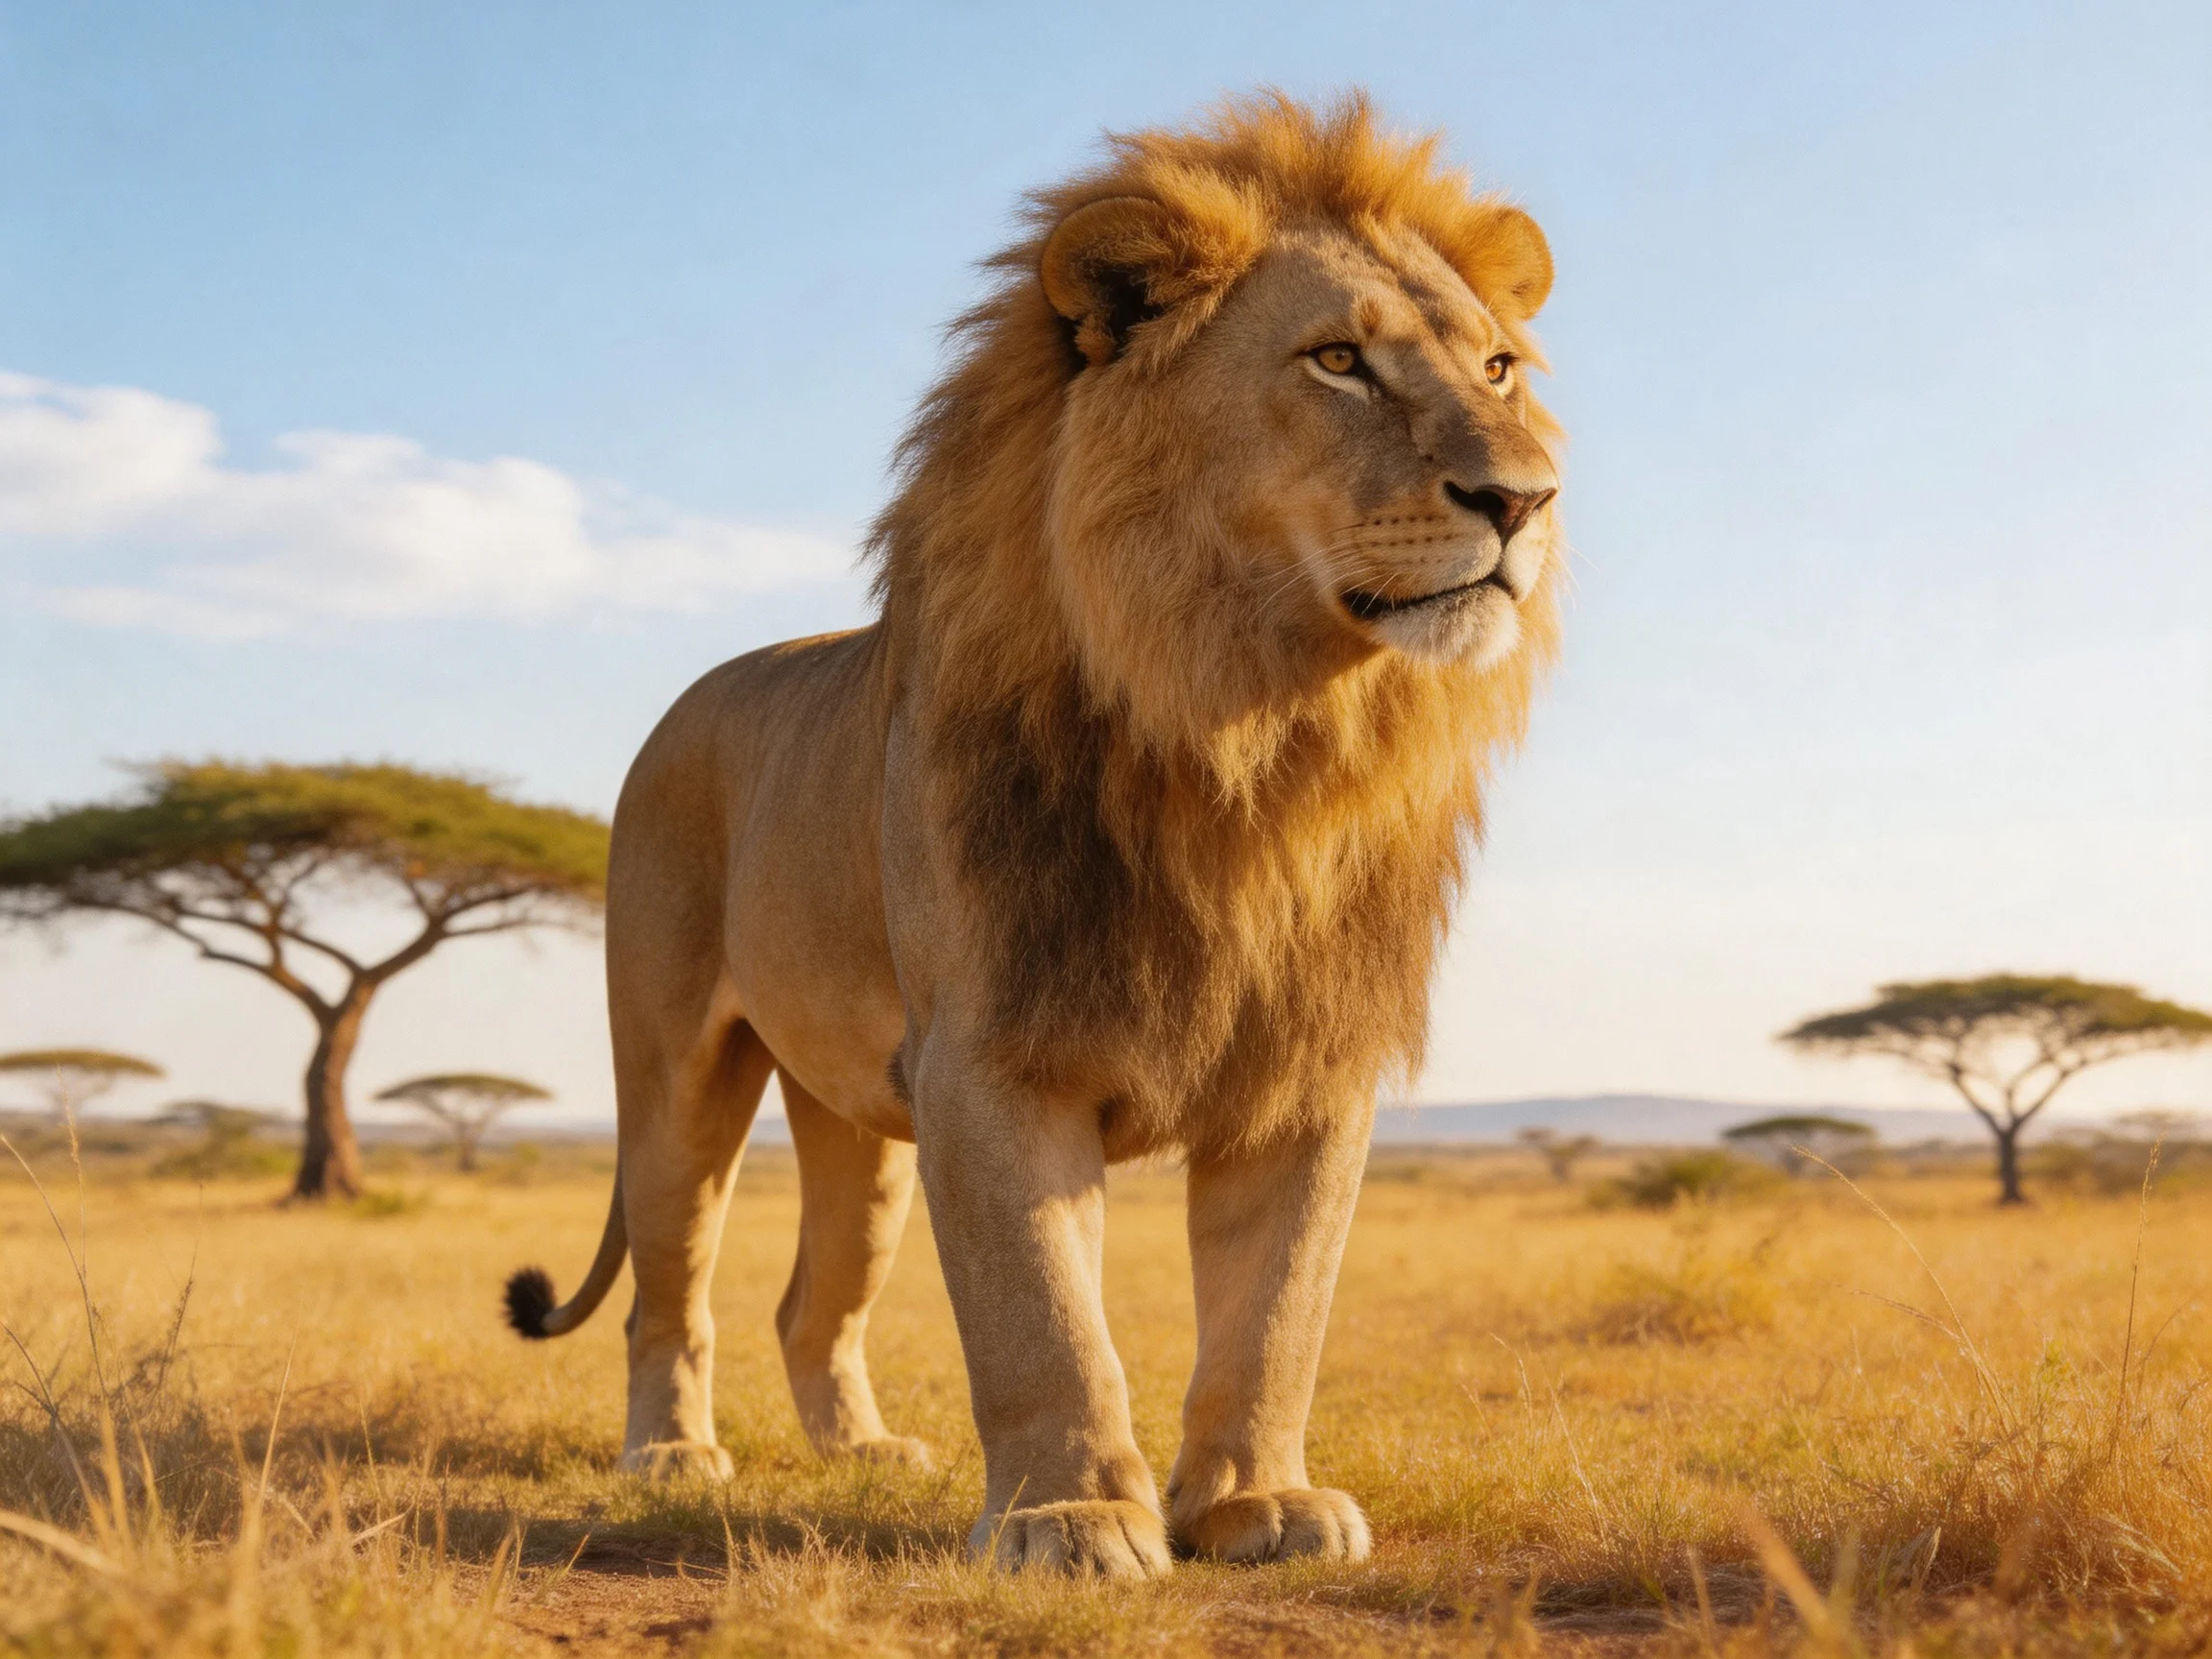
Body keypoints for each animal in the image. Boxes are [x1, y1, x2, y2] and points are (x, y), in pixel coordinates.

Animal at [503, 91, 1564, 1580]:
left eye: (1501, 367)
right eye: (1339, 360)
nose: (1526, 501)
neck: (1254, 730)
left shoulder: (1308, 1065)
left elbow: (1277, 1313)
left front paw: (1258, 1501)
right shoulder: (995, 1057)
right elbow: (1044, 1316)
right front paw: (1071, 1520)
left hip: (862, 1131)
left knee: (810, 1300)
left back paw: (863, 1453)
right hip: (674, 1075)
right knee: (676, 1288)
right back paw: (670, 1457)